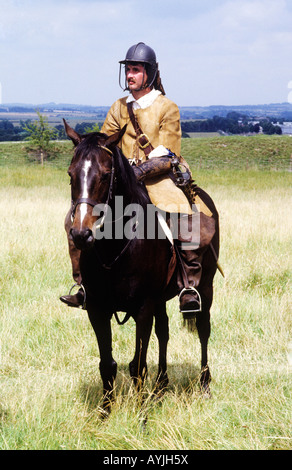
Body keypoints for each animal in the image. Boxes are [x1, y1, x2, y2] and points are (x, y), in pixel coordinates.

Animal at [63, 120, 219, 412]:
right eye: (71, 175)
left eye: (105, 175)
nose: (80, 234)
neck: (116, 247)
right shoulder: (97, 310)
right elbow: (107, 364)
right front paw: (104, 413)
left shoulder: (143, 308)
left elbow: (137, 365)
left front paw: (140, 414)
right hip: (161, 300)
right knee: (164, 332)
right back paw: (160, 386)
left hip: (206, 287)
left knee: (203, 329)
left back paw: (204, 385)